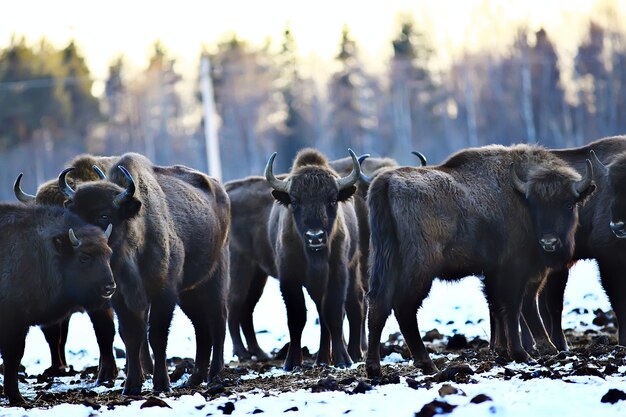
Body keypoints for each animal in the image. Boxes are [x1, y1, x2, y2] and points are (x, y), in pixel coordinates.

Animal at [0, 203, 114, 402]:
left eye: (109, 255)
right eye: (84, 257)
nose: (109, 287)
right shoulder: (14, 323)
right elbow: (13, 356)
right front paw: (17, 397)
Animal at [56, 151, 229, 392]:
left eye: (104, 216)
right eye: (73, 214)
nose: (80, 245)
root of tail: (219, 188)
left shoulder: (163, 293)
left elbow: (157, 335)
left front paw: (162, 384)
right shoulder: (121, 297)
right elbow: (131, 336)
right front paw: (131, 385)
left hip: (214, 279)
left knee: (218, 320)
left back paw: (215, 375)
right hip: (189, 293)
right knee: (201, 327)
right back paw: (195, 378)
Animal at [264, 148, 360, 368]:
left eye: (332, 200)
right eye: (295, 202)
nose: (315, 236)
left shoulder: (338, 274)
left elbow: (334, 313)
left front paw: (343, 359)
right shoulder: (289, 279)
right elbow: (297, 317)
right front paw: (291, 362)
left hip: (353, 269)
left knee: (350, 307)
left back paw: (348, 354)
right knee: (321, 314)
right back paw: (322, 358)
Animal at [366, 144, 596, 376]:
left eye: (569, 205)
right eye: (534, 205)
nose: (549, 242)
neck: (519, 196)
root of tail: (387, 181)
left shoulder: (497, 273)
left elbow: (503, 306)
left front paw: (513, 350)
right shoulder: (514, 270)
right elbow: (513, 307)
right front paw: (522, 354)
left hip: (386, 261)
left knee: (379, 305)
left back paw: (374, 368)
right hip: (420, 270)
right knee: (404, 307)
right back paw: (427, 364)